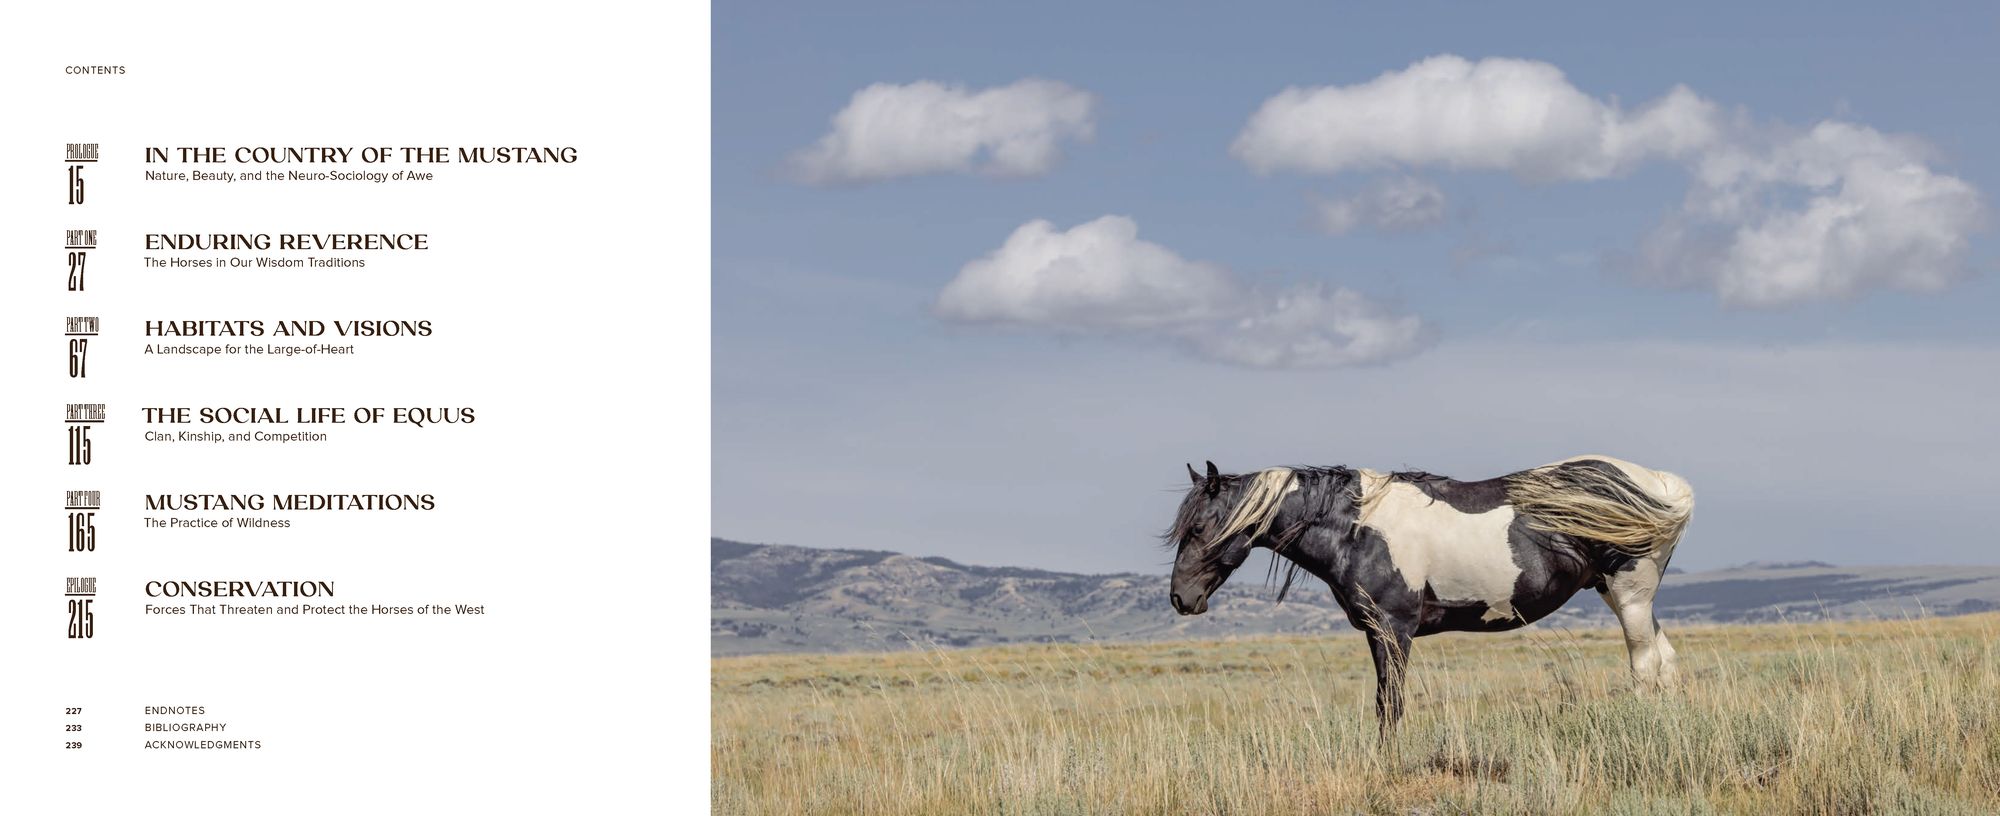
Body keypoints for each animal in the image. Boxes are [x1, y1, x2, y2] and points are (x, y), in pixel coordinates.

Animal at [1164, 455, 1693, 733]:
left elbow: (1390, 703)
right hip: (1621, 594)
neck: (1357, 528)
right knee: (1666, 661)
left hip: (1629, 592)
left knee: (1645, 664)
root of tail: (1660, 485)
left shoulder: (1393, 629)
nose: (1181, 598)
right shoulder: (1379, 632)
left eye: (1200, 528)